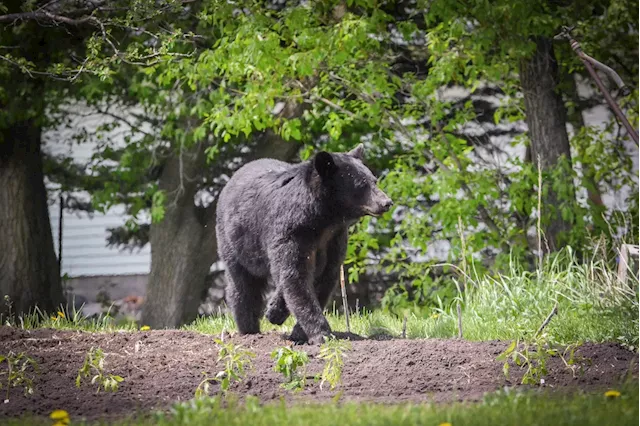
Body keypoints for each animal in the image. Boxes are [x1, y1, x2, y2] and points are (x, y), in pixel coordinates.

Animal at [218, 145, 392, 344]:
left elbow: (324, 276)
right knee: (243, 285)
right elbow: (296, 277)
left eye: (374, 180)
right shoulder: (293, 233)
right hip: (235, 243)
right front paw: (322, 334)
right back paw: (249, 329)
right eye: (362, 184)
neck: (322, 220)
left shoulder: (333, 239)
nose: (387, 202)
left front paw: (296, 329)